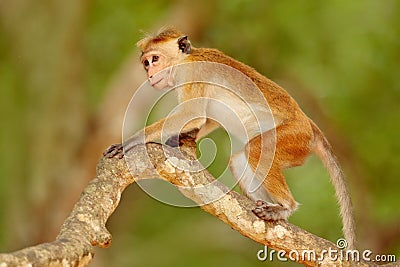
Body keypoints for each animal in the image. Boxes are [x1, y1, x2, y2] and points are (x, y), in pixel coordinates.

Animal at [104, 26, 356, 249]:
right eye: (146, 63)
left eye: (155, 59)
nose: (149, 73)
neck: (184, 60)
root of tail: (310, 125)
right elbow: (207, 119)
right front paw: (183, 137)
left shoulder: (192, 74)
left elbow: (192, 114)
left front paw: (131, 141)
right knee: (240, 158)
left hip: (295, 136)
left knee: (257, 148)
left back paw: (285, 207)